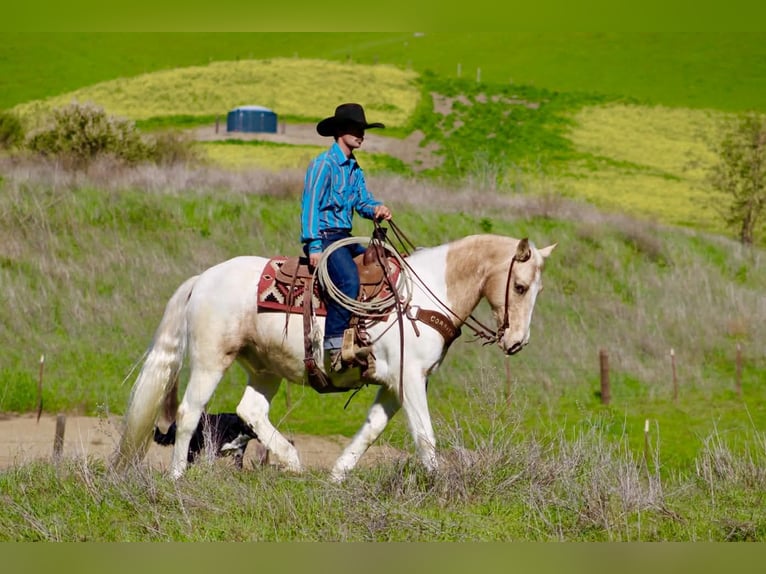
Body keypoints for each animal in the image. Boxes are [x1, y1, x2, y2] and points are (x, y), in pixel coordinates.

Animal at [114, 232, 556, 482]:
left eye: (538, 290)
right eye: (519, 286)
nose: (517, 341)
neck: (424, 295)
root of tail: (204, 278)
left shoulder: (394, 384)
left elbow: (372, 428)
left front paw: (339, 474)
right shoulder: (410, 378)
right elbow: (424, 434)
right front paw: (441, 483)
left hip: (265, 367)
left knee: (250, 410)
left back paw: (291, 461)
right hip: (211, 360)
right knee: (190, 411)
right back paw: (177, 475)